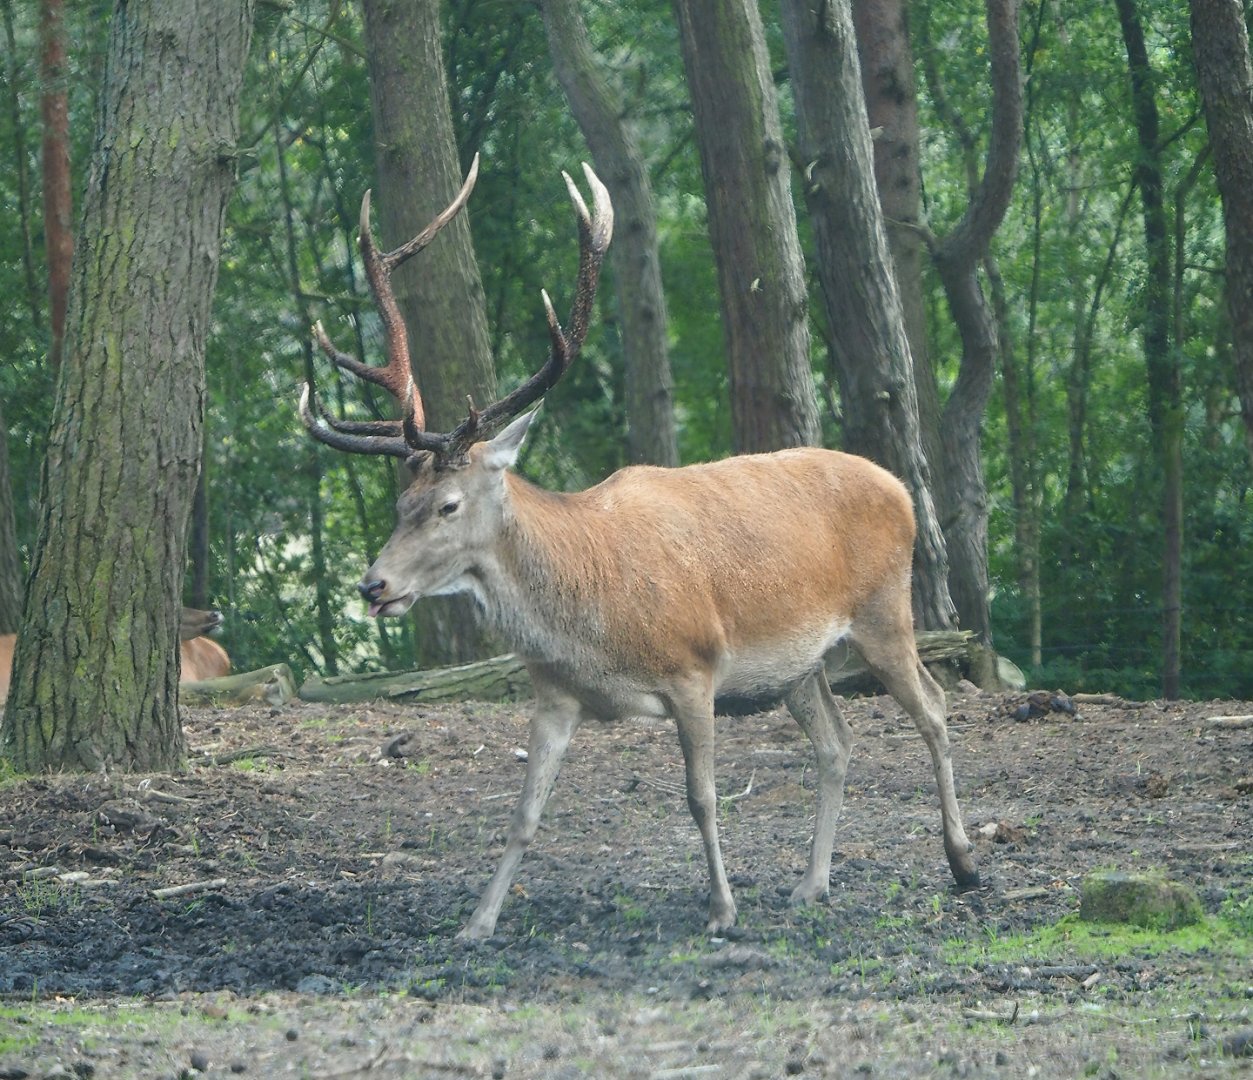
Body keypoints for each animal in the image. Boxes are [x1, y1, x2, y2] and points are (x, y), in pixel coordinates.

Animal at [299, 156, 979, 941]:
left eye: (448, 505)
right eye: (398, 505)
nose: (373, 586)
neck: (591, 621)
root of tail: (899, 488)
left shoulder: (694, 668)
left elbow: (700, 797)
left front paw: (721, 909)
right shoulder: (553, 692)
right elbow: (523, 814)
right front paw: (478, 922)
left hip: (883, 609)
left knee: (935, 710)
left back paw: (962, 861)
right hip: (798, 665)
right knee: (836, 744)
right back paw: (811, 884)